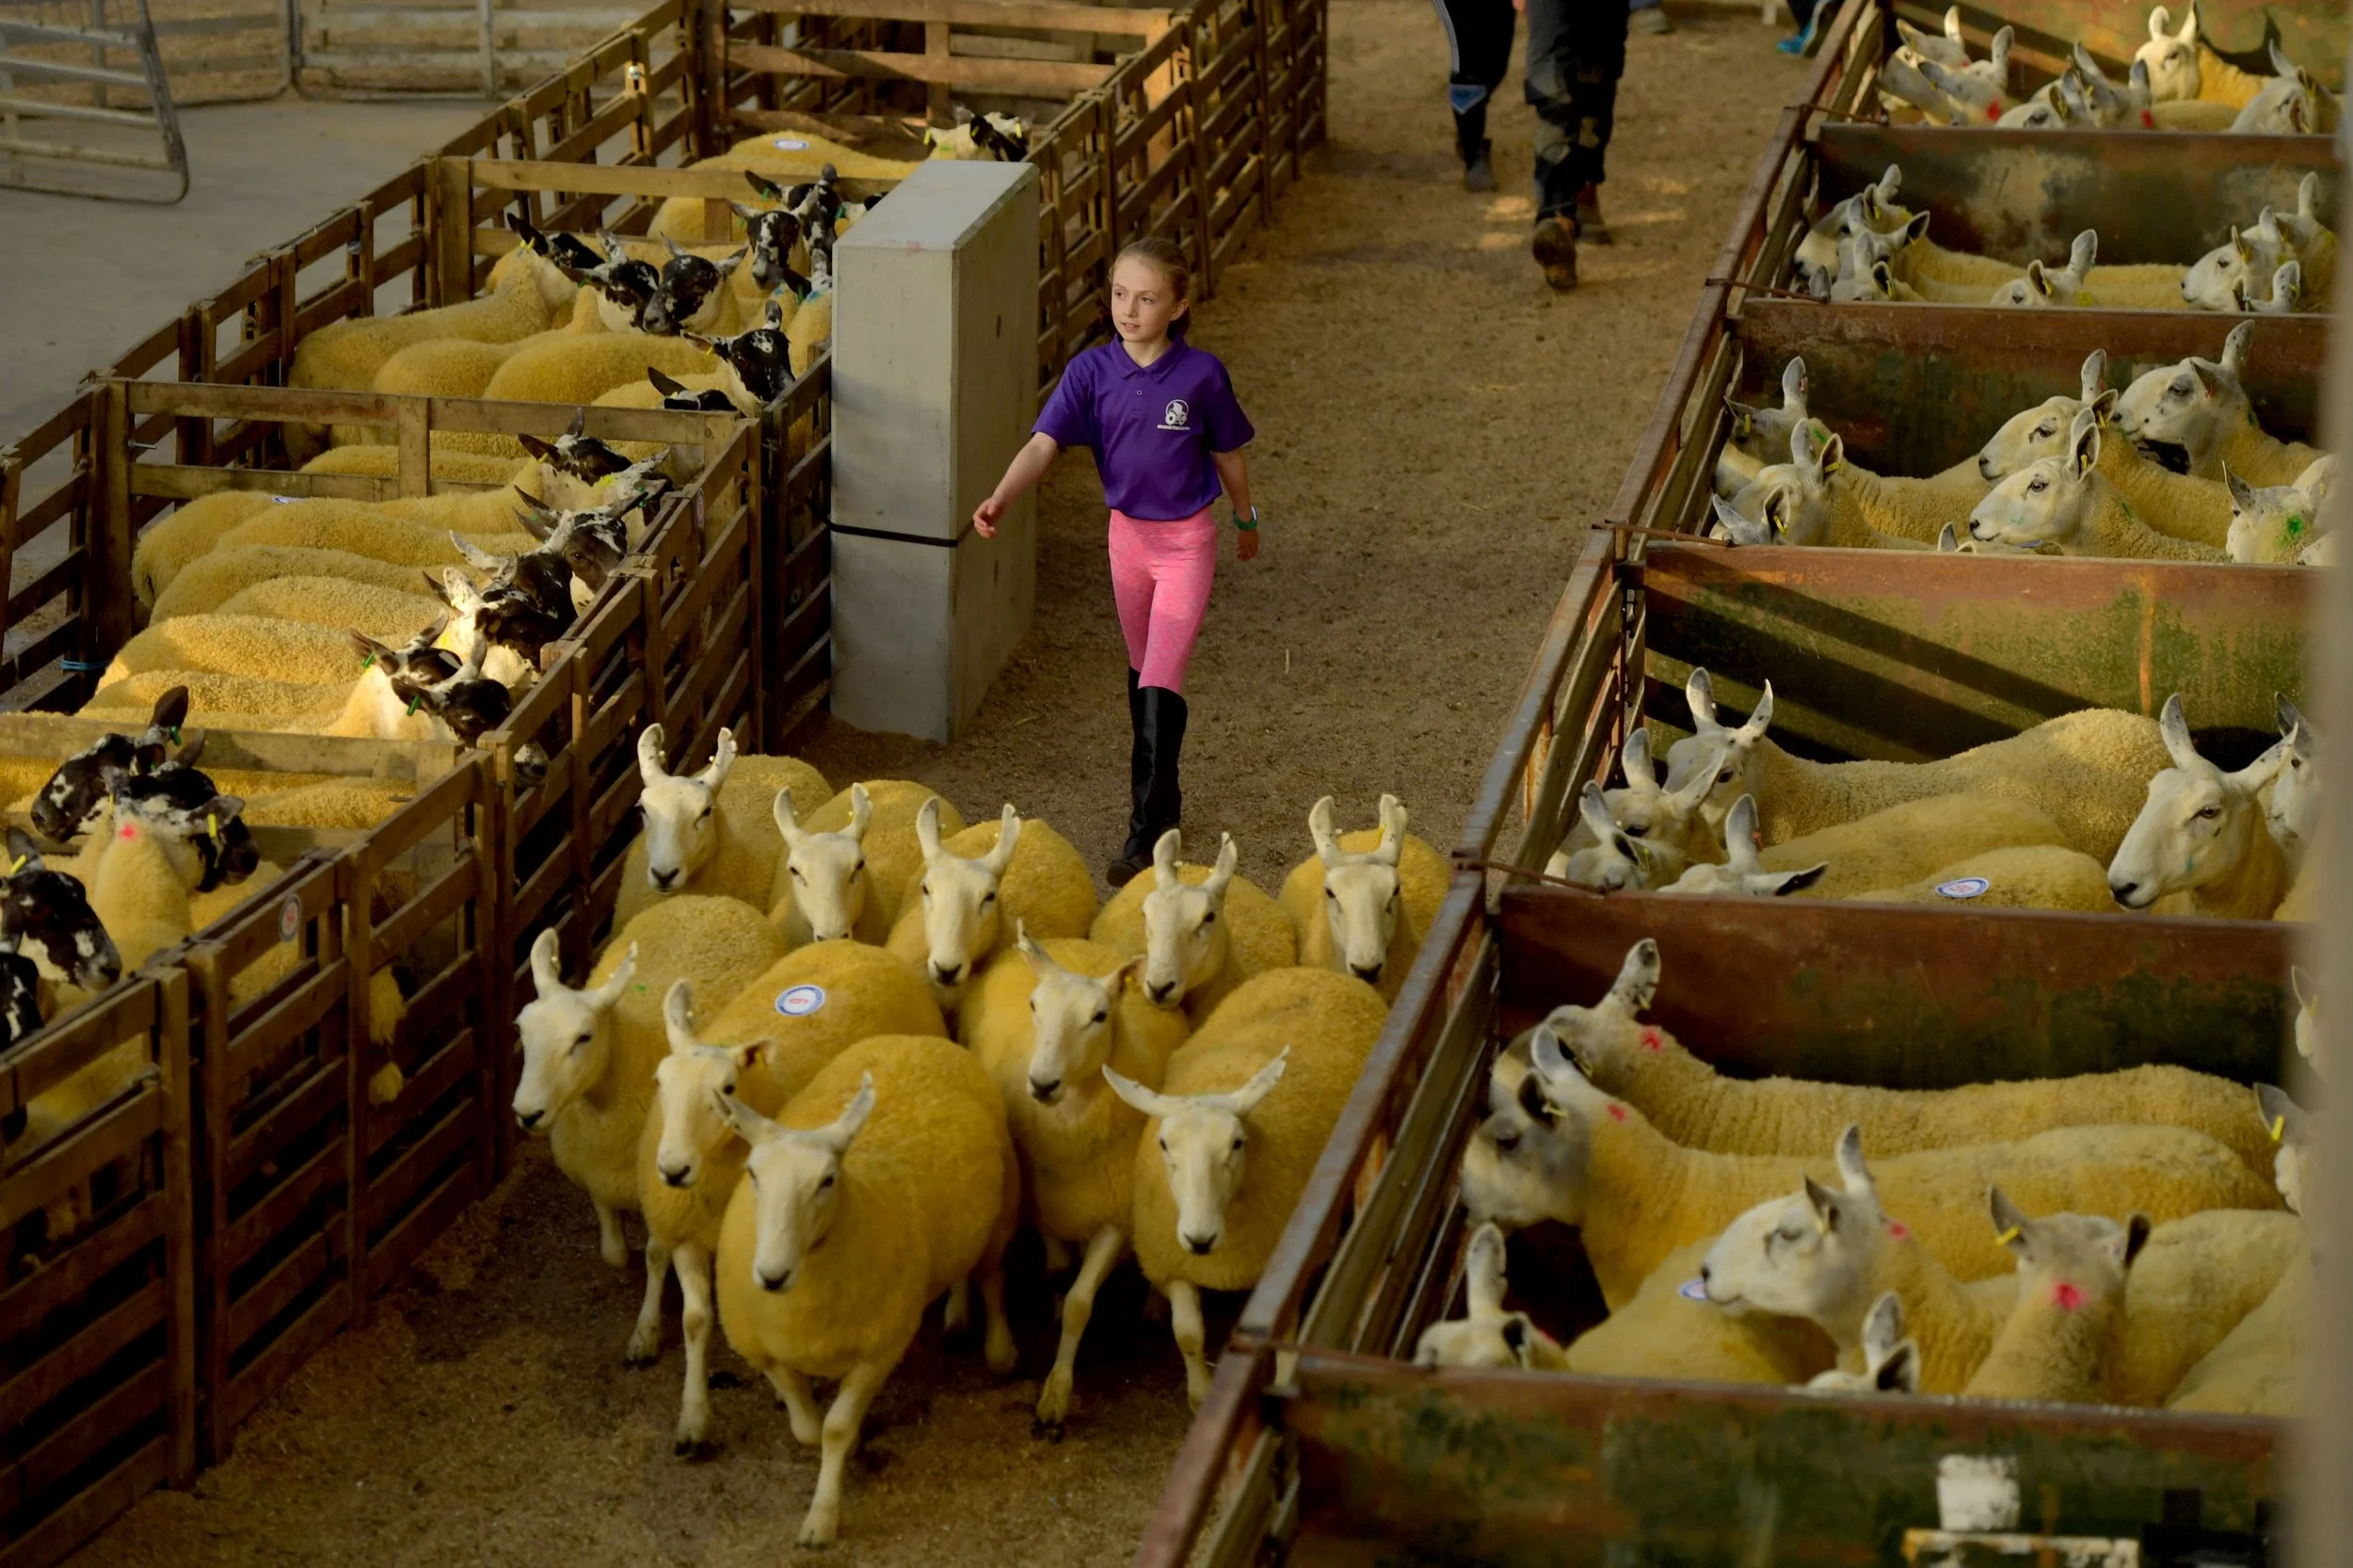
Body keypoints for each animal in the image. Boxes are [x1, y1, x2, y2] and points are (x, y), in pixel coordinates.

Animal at [511, 899, 788, 1271]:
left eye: (584, 1036)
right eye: (520, 1029)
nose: (527, 1112)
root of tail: (715, 900)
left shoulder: (660, 1199)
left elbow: (656, 1251)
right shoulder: (596, 1175)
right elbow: (613, 1253)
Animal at [712, 1035, 1018, 1547]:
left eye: (827, 1180)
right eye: (752, 1173)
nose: (771, 1276)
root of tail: (918, 1041)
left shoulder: (880, 1350)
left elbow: (834, 1429)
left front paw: (822, 1518)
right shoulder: (764, 1349)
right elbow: (806, 1428)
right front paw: (841, 1447)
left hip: (1002, 1212)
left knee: (993, 1278)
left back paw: (999, 1349)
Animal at [963, 928, 1190, 1431]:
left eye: (1099, 1017)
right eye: (1033, 1005)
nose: (1042, 1083)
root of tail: (1071, 943)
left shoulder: (1117, 1217)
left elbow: (1080, 1303)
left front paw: (1057, 1393)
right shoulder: (1041, 1203)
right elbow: (1057, 1273)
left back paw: (1153, 1305)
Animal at [1111, 967, 1388, 1405]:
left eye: (1236, 1144)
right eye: (1164, 1144)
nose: (1200, 1239)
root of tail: (1312, 971)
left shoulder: (1281, 1273)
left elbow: (1285, 1341)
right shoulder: (1172, 1262)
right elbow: (1188, 1335)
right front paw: (1200, 1394)